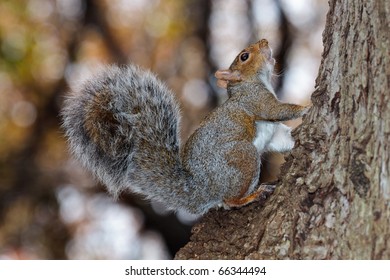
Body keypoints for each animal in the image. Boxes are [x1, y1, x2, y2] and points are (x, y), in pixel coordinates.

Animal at [61, 38, 310, 214]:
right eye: (244, 56)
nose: (265, 41)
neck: (253, 83)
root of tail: (202, 189)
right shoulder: (256, 101)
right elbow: (278, 110)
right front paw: (307, 107)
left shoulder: (273, 131)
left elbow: (282, 138)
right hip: (242, 156)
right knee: (230, 201)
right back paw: (252, 195)